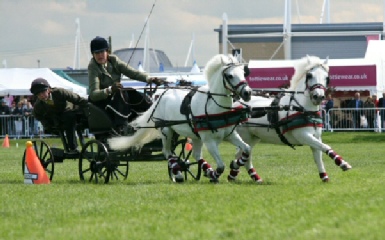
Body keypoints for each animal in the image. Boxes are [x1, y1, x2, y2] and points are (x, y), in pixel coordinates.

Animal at [107, 54, 255, 182]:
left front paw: (235, 164)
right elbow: (220, 166)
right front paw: (214, 175)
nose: (247, 93)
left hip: (193, 136)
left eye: (243, 73)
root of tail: (160, 96)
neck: (213, 105)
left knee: (195, 155)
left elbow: (247, 149)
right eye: (230, 75)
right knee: (167, 153)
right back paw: (178, 173)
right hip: (166, 131)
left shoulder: (230, 135)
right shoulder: (209, 141)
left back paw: (196, 170)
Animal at [231, 54, 352, 182]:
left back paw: (247, 176)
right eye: (310, 75)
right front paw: (342, 163)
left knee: (244, 155)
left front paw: (325, 177)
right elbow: (325, 146)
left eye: (327, 77)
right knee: (243, 154)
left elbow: (318, 156)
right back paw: (236, 171)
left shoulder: (316, 137)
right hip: (245, 136)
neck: (304, 109)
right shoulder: (303, 136)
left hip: (254, 137)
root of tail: (235, 103)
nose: (318, 96)